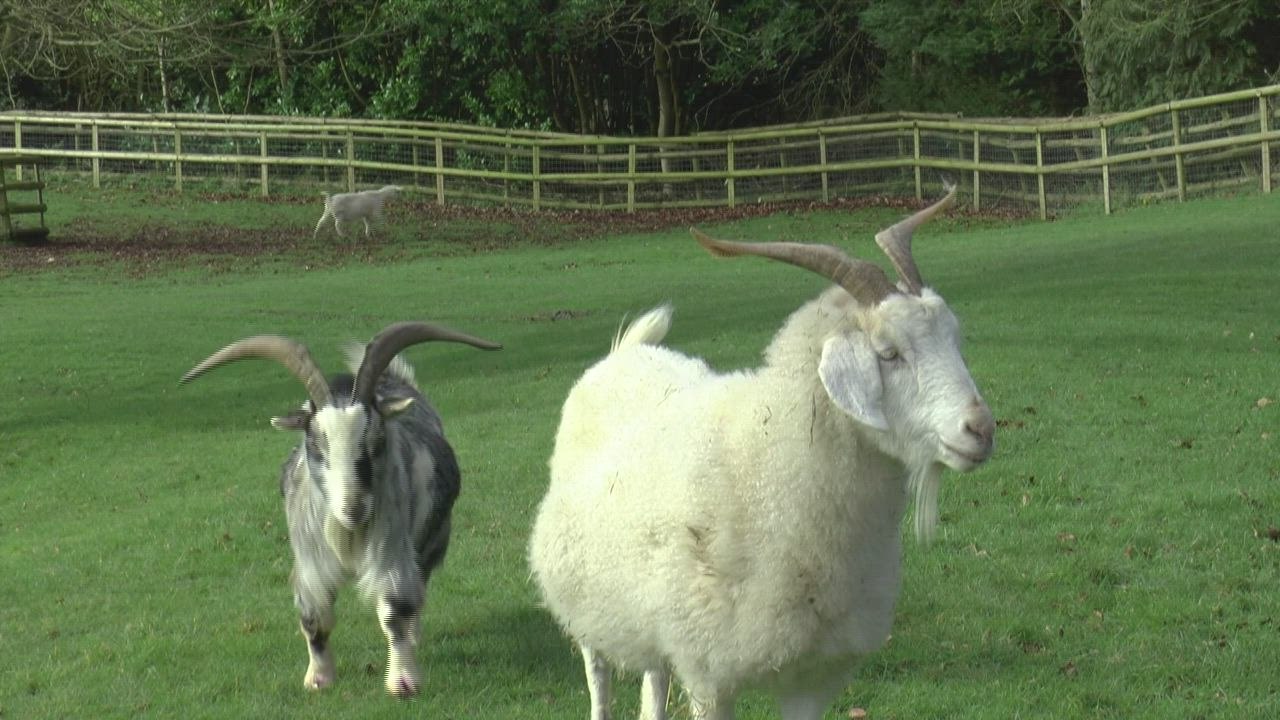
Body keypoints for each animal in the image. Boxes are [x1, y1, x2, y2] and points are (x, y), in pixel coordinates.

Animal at [181, 322, 501, 697]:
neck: (349, 534)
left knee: (418, 590)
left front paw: (403, 682)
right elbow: (314, 617)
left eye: (375, 440)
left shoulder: (393, 553)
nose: (354, 507)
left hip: (432, 540)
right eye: (316, 443)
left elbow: (394, 611)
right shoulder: (311, 560)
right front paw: (319, 678)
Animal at [528, 184, 995, 720]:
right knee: (599, 678)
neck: (765, 465)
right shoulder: (710, 674)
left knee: (653, 681)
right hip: (590, 609)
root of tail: (628, 350)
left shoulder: (814, 675)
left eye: (953, 338)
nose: (981, 429)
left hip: (655, 620)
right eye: (888, 353)